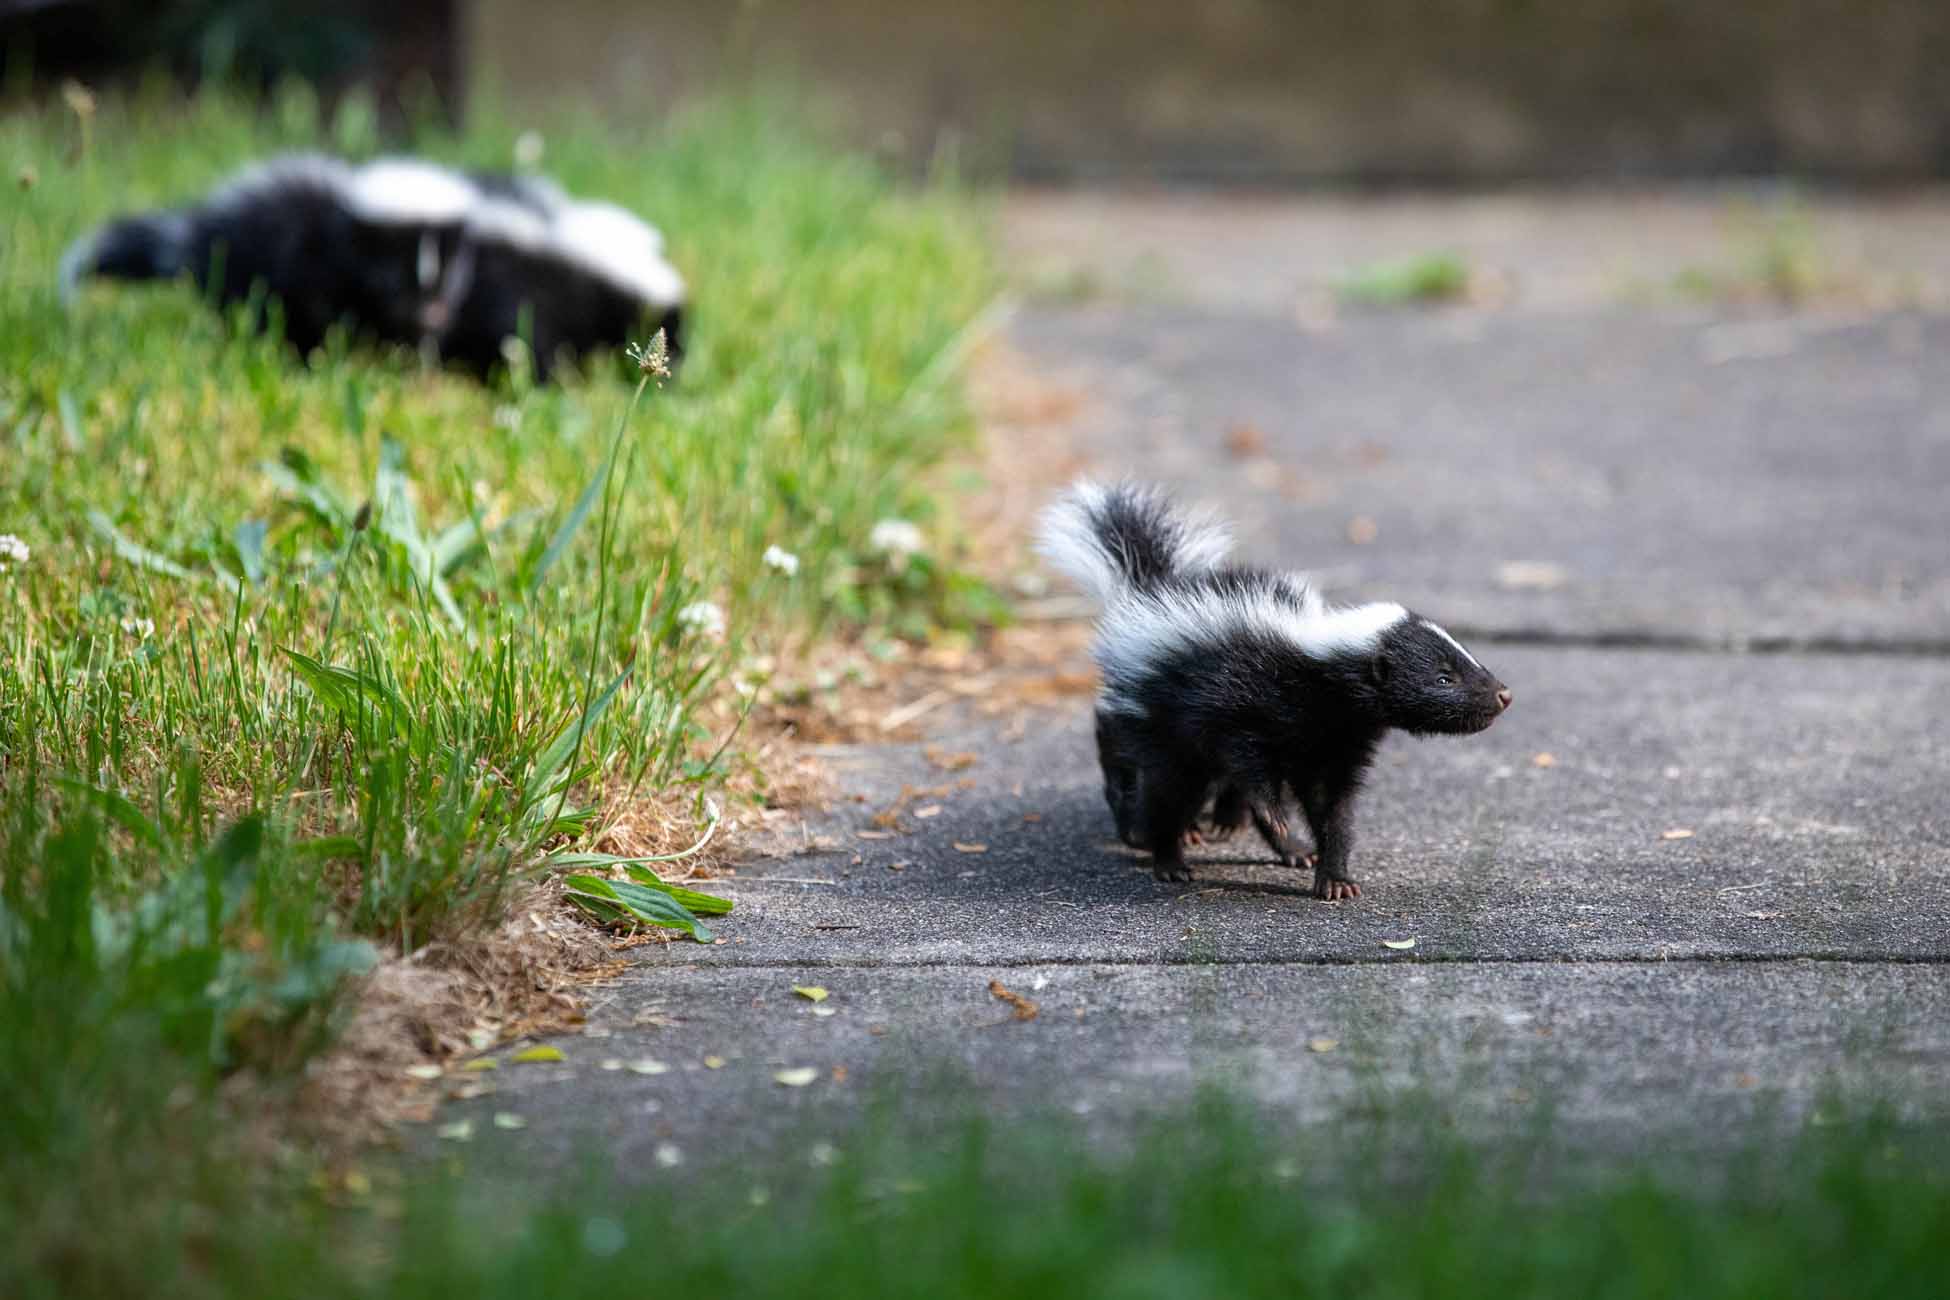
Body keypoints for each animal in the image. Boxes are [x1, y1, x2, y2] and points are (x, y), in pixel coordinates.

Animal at [1037, 483, 1505, 900]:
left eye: (1464, 660)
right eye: (1444, 677)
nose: (1502, 693)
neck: (1318, 673)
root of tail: (1148, 589)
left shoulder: (1336, 743)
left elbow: (1330, 808)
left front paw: (1334, 876)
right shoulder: (1238, 696)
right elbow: (1247, 763)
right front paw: (1276, 818)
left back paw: (1287, 849)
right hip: (1155, 718)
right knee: (1163, 785)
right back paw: (1165, 854)